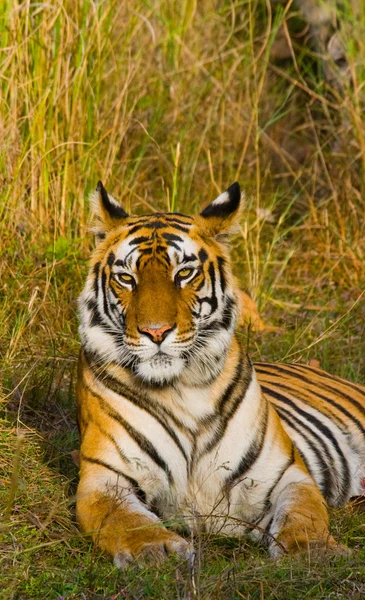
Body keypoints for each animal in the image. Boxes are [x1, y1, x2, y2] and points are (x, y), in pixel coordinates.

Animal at [77, 180, 364, 564]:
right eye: (126, 278)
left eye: (184, 273)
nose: (155, 332)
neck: (181, 387)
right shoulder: (104, 478)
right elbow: (127, 522)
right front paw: (158, 549)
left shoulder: (286, 474)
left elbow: (304, 515)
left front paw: (312, 551)